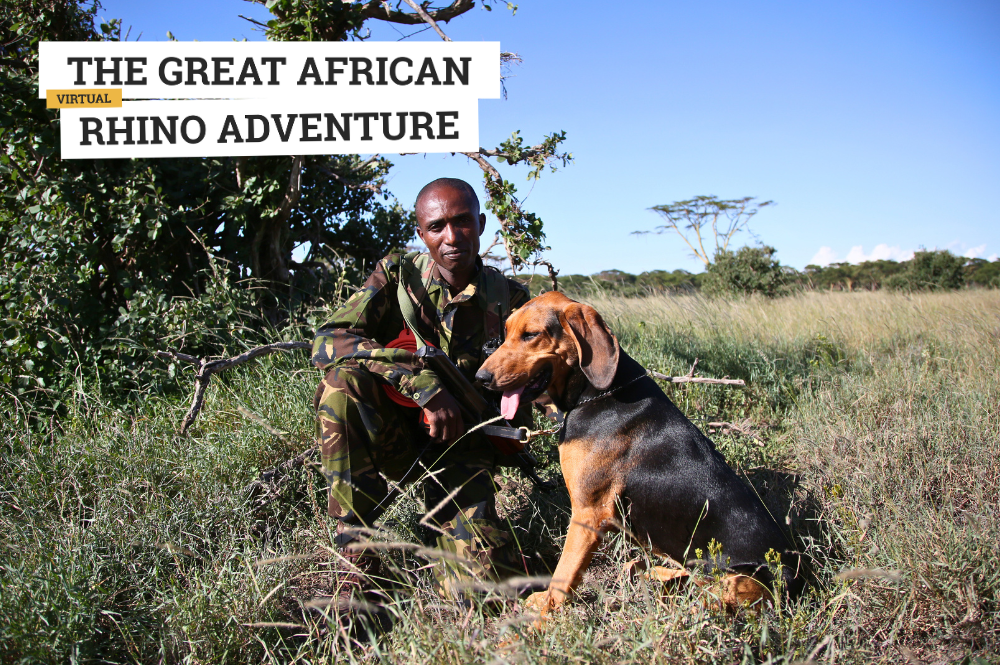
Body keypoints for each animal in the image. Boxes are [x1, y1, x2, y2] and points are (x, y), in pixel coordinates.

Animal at [476, 294, 804, 616]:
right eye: (506, 332)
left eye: (531, 335)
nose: (481, 377)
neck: (597, 394)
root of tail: (798, 580)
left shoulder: (588, 513)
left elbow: (563, 573)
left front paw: (544, 613)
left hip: (742, 580)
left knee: (706, 593)